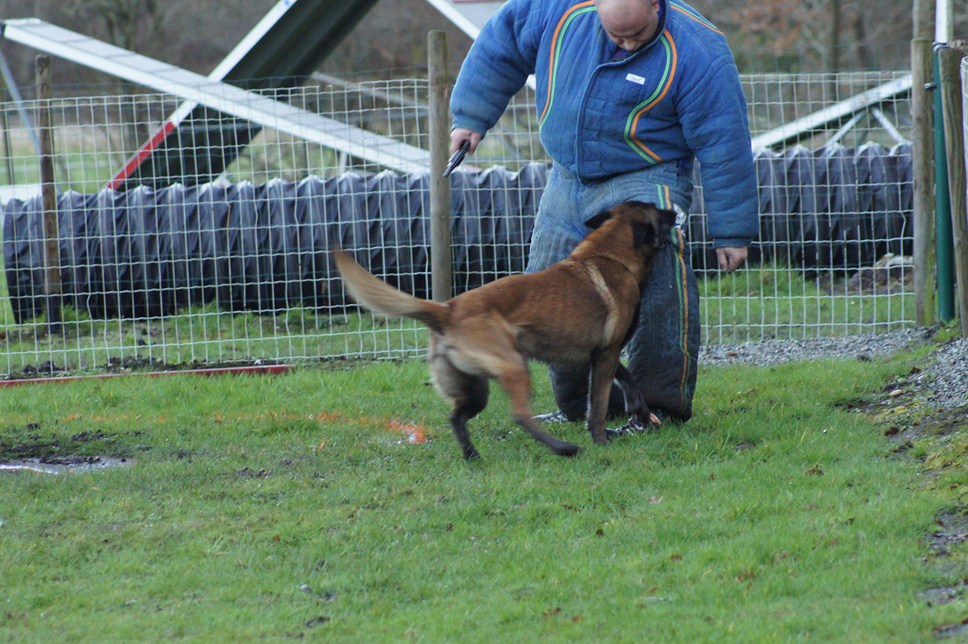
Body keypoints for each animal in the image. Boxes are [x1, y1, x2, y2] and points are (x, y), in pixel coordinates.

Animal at [336, 201, 676, 458]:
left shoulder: (602, 353)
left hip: (475, 388)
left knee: (456, 416)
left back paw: (472, 456)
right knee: (519, 415)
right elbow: (599, 405)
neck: (610, 256)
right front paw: (601, 439)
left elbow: (628, 378)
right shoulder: (605, 355)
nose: (674, 211)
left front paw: (640, 411)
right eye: (659, 213)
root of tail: (448, 309)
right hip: (515, 366)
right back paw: (563, 448)